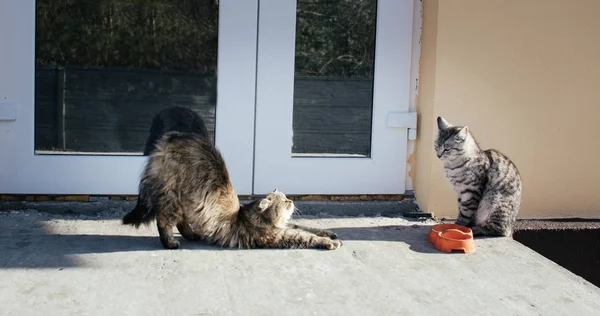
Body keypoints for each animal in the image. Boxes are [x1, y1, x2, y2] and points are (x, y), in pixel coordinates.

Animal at [122, 106, 342, 249]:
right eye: (284, 202)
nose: (292, 201)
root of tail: (170, 139)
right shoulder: (278, 236)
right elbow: (306, 236)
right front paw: (330, 242)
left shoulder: (287, 226)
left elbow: (307, 227)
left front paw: (329, 233)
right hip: (173, 197)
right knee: (164, 219)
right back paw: (171, 243)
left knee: (180, 221)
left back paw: (193, 235)